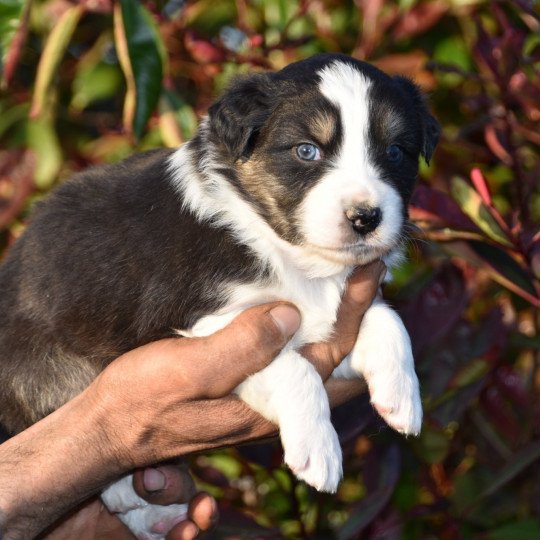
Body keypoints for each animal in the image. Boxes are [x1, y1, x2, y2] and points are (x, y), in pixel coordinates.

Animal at [0, 53, 438, 536]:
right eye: (307, 151)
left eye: (395, 152)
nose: (366, 217)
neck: (291, 254)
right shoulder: (205, 323)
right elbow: (293, 368)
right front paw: (318, 452)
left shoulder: (332, 319)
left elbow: (388, 319)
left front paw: (402, 397)